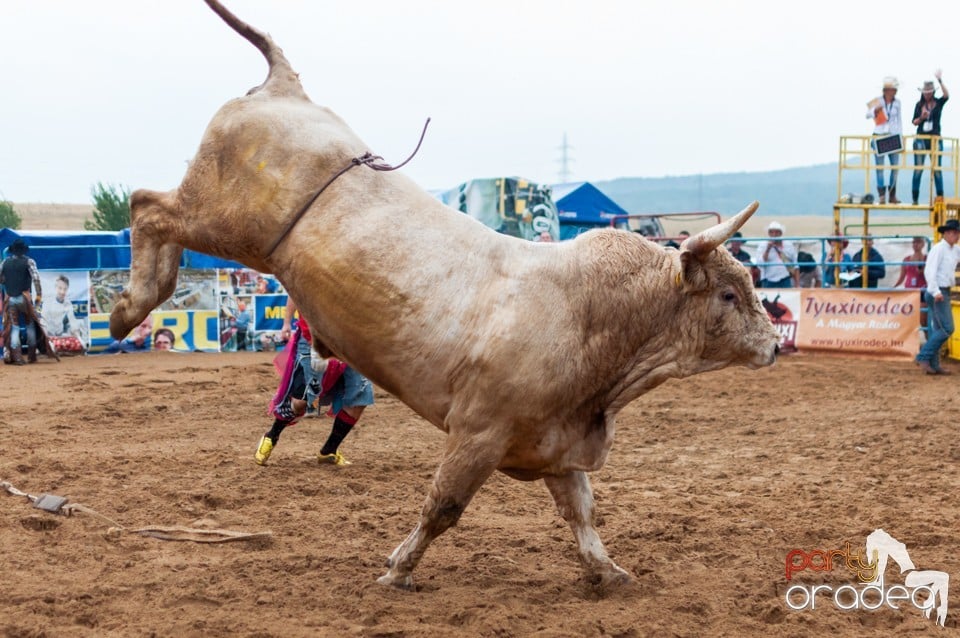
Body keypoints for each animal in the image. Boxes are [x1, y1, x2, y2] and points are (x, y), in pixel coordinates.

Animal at [110, 1, 780, 596]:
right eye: (727, 292)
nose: (774, 344)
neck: (596, 315)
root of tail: (287, 90)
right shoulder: (477, 433)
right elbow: (444, 507)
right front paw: (398, 569)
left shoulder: (557, 446)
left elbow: (581, 515)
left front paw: (608, 573)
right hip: (222, 219)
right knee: (148, 206)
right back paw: (127, 308)